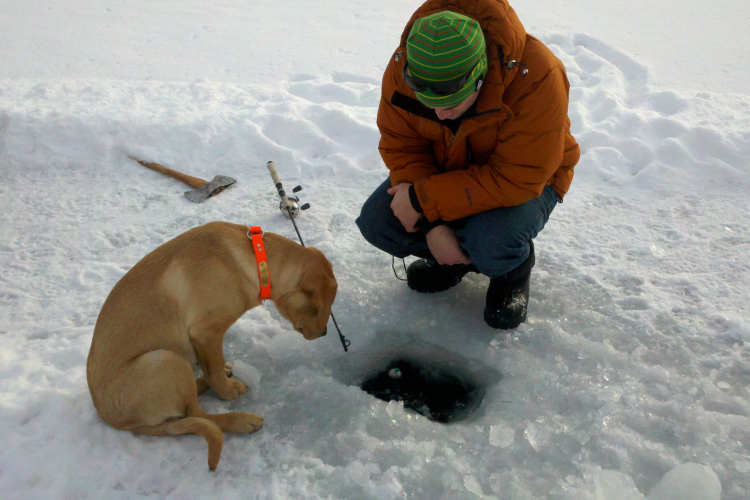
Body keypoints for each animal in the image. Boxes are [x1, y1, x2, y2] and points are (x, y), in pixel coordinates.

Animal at [86, 221, 340, 470]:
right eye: (321, 306)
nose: (325, 332)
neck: (257, 260)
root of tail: (117, 422)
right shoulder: (206, 332)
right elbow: (215, 367)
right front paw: (227, 390)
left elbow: (212, 367)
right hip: (165, 360)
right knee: (199, 415)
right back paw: (240, 419)